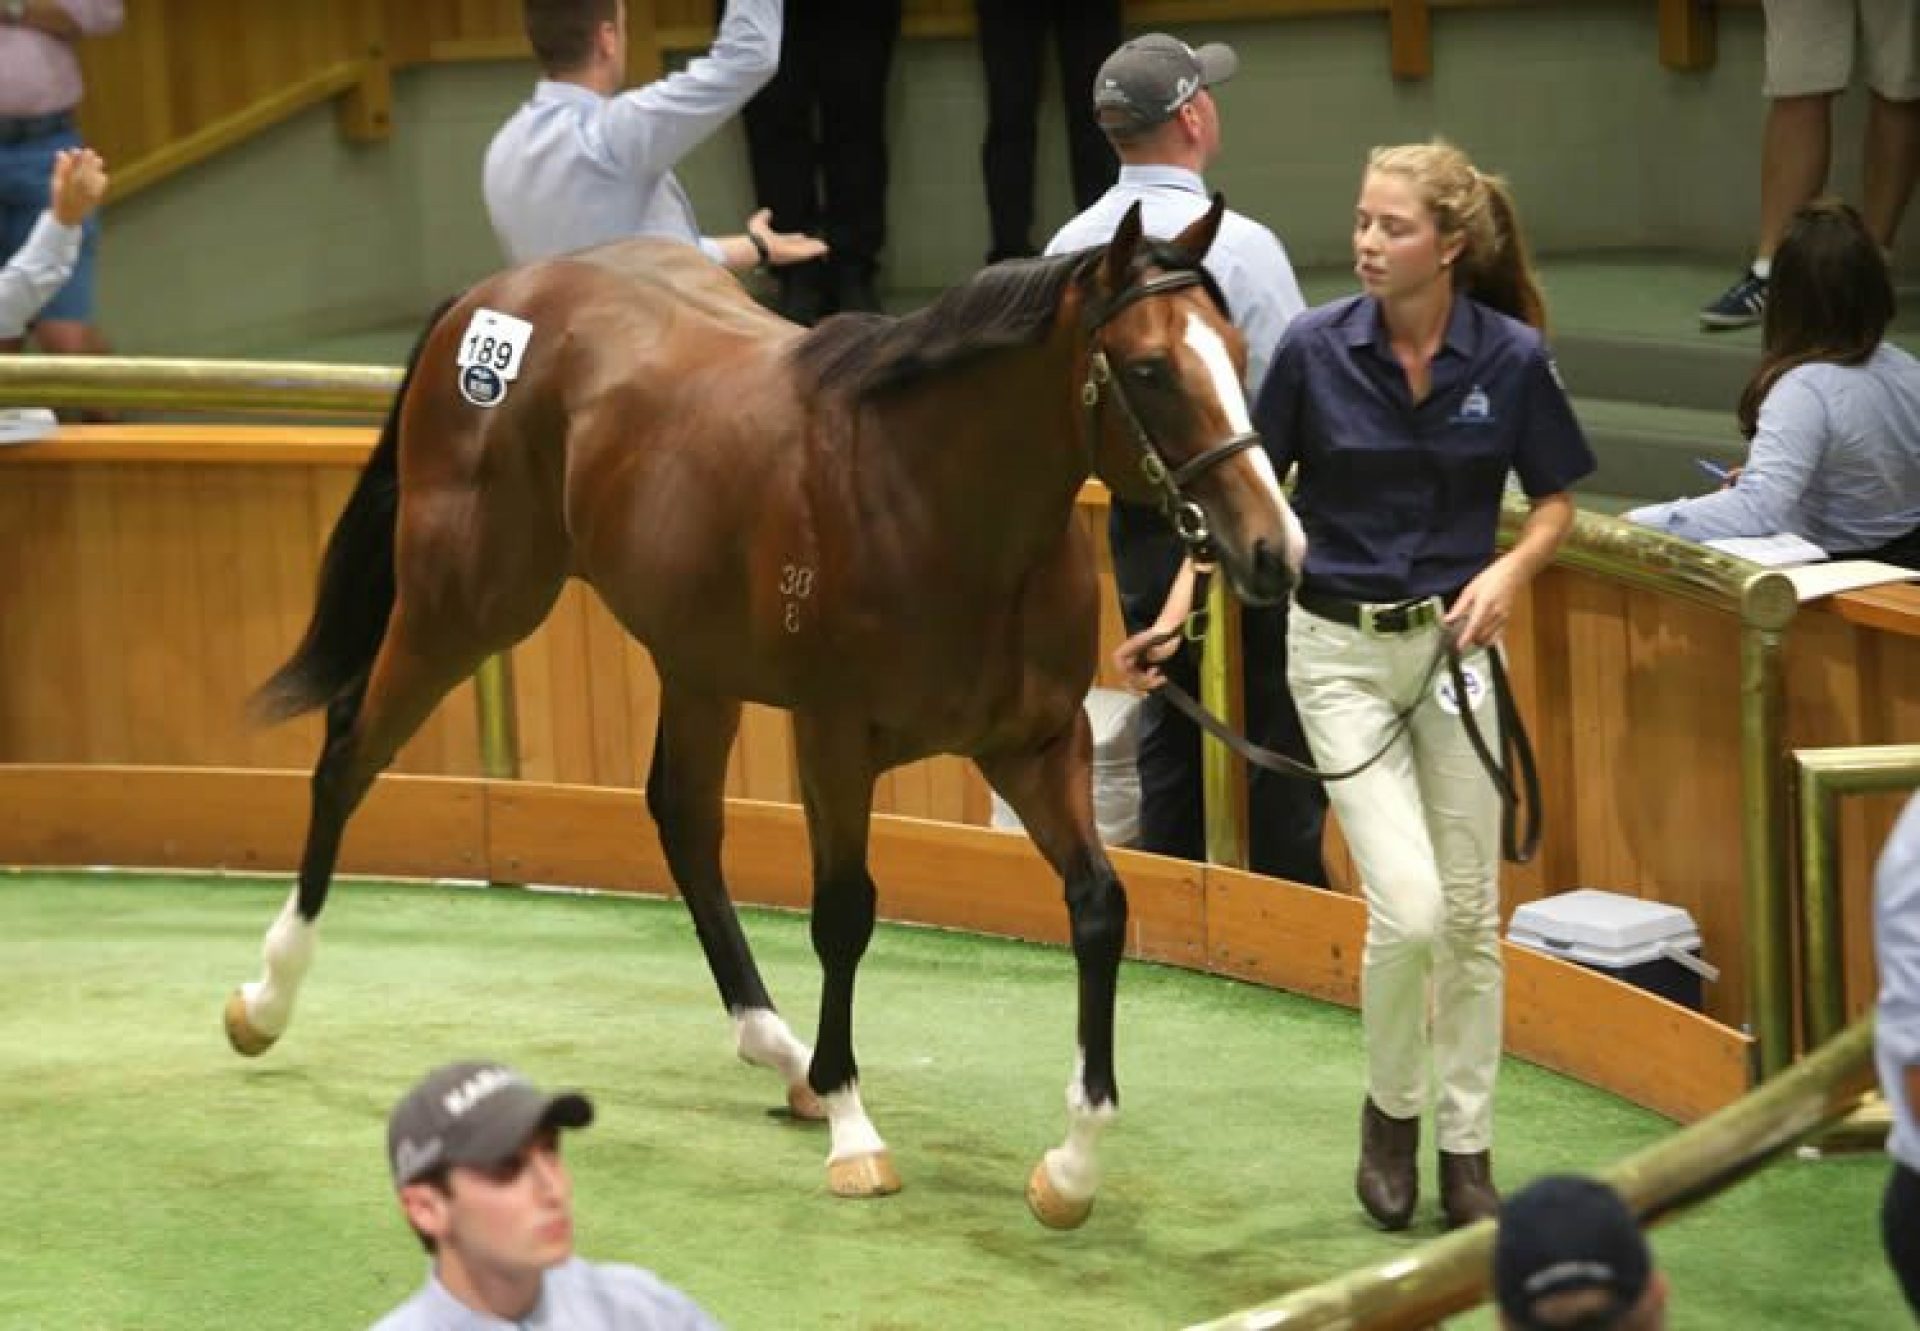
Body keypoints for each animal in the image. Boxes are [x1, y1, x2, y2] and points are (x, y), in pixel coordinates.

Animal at [220, 196, 1305, 1221]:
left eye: (1239, 351)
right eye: (1153, 368)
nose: (1273, 550)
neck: (934, 502)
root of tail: (493, 296)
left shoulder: (1038, 743)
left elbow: (1099, 906)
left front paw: (1070, 1167)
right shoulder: (834, 740)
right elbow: (845, 913)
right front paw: (857, 1132)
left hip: (694, 663)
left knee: (682, 818)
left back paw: (779, 1050)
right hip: (465, 604)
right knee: (349, 751)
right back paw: (266, 998)